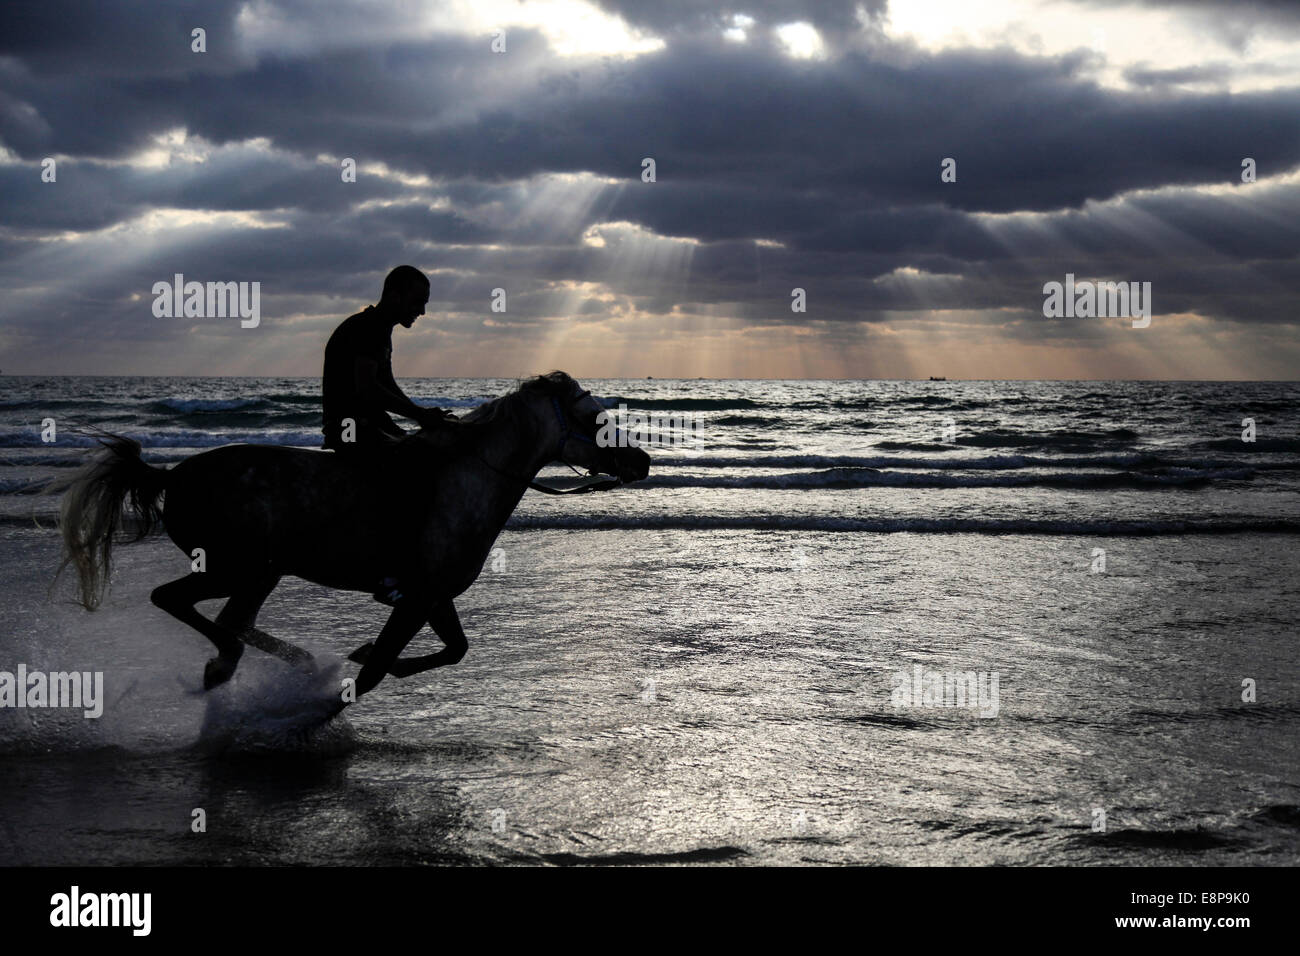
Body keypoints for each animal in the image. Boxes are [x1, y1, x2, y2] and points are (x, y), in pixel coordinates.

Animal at [53, 371, 650, 702]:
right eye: (593, 416)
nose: (640, 461)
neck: (469, 477)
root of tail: (171, 476)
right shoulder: (417, 597)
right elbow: (378, 670)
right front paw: (332, 693)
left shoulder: (432, 596)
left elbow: (453, 650)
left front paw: (356, 654)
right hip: (233, 567)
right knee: (181, 603)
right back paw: (244, 662)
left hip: (259, 572)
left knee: (229, 622)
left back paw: (276, 661)